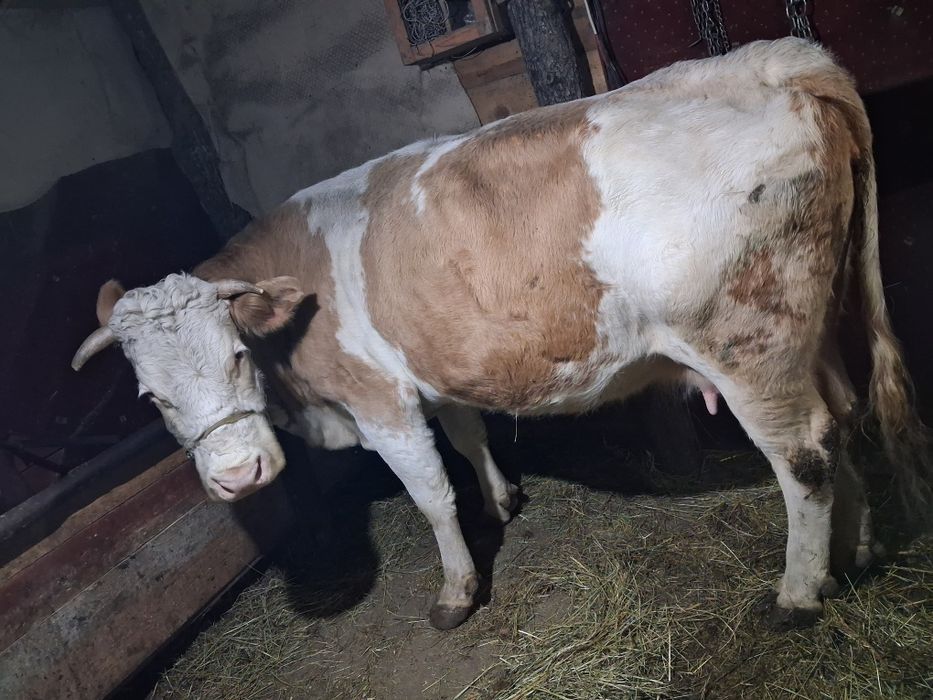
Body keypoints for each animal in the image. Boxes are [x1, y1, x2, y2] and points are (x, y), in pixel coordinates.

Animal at [72, 38, 930, 631]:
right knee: (843, 416)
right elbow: (468, 432)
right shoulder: (438, 363)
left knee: (804, 454)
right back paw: (853, 555)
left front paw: (456, 591)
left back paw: (795, 594)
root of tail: (771, 61)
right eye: (150, 396)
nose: (239, 475)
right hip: (806, 328)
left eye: (236, 355)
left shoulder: (378, 397)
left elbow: (429, 493)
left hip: (744, 341)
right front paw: (500, 499)